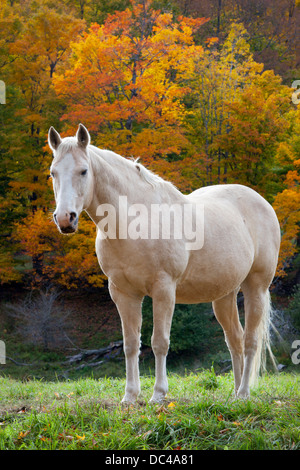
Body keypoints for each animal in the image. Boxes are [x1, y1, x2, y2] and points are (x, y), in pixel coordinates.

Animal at [48, 123, 280, 402]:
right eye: (52, 173)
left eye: (83, 171)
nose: (65, 218)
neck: (136, 221)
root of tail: (262, 202)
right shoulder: (123, 293)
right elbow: (131, 344)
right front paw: (130, 397)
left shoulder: (163, 290)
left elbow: (159, 342)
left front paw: (158, 394)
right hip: (225, 295)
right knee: (234, 339)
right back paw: (234, 396)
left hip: (256, 287)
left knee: (250, 341)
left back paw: (244, 393)